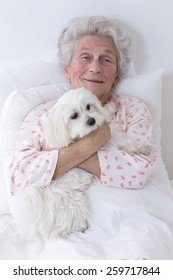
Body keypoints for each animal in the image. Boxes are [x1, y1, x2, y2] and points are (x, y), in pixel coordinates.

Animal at [12, 87, 152, 241]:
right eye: (74, 116)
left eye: (88, 107)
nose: (91, 120)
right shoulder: (102, 145)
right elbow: (120, 143)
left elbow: (117, 130)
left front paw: (110, 108)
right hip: (72, 203)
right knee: (55, 231)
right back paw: (77, 228)